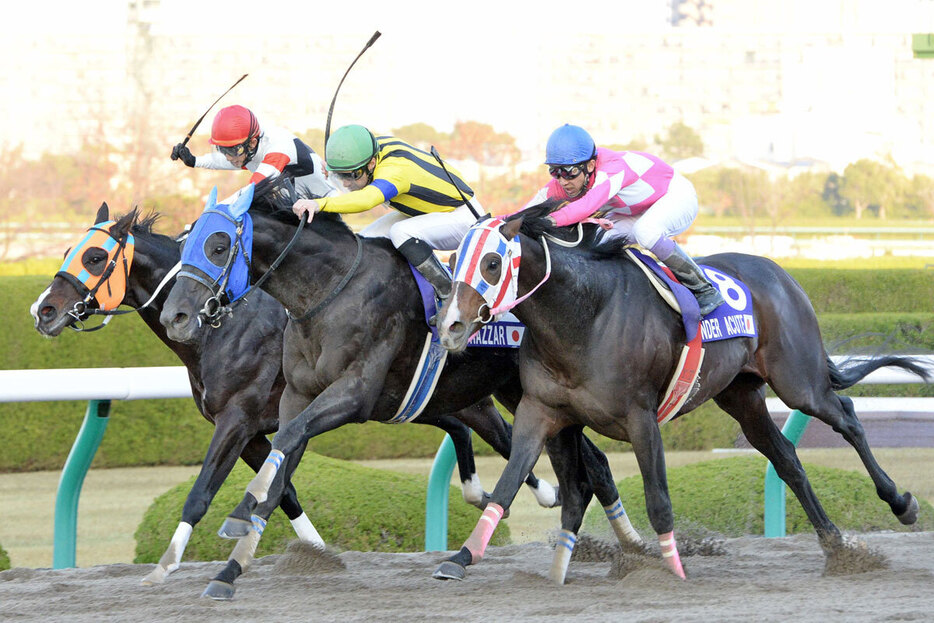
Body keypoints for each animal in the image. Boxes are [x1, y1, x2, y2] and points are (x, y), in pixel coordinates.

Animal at [159, 184, 636, 600]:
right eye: (184, 245)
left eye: (218, 245)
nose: (174, 316)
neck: (326, 293)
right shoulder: (296, 397)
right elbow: (281, 471)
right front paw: (227, 573)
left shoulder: (352, 395)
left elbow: (285, 443)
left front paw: (239, 513)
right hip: (523, 395)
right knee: (592, 464)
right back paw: (625, 548)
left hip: (534, 396)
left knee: (588, 466)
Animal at [436, 204, 932, 584]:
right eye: (455, 258)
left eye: (492, 263)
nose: (451, 326)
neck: (584, 314)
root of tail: (780, 272)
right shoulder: (542, 412)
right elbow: (507, 486)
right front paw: (460, 559)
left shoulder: (640, 418)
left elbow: (658, 499)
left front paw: (673, 571)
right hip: (741, 396)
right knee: (787, 459)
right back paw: (835, 546)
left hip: (798, 382)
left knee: (846, 415)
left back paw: (901, 504)